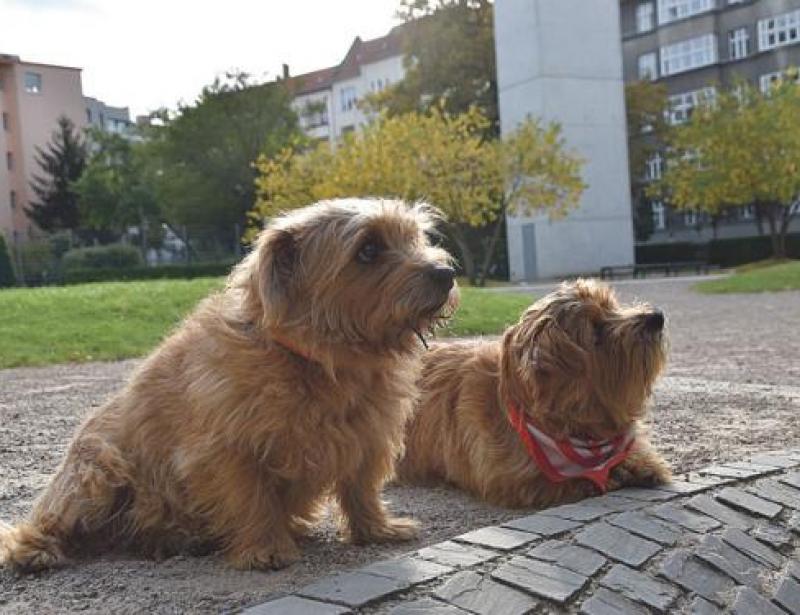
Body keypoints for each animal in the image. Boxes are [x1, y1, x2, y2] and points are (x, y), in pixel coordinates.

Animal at [0, 199, 460, 572]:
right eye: (368, 249)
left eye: (415, 237)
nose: (447, 272)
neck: (319, 362)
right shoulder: (226, 450)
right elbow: (250, 497)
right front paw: (265, 549)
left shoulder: (369, 436)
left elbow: (361, 488)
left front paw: (376, 530)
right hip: (98, 469)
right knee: (41, 524)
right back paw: (37, 550)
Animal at [398, 280, 668, 510]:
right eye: (596, 329)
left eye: (612, 306)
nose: (656, 316)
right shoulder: (506, 477)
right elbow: (551, 481)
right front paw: (608, 476)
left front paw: (638, 463)